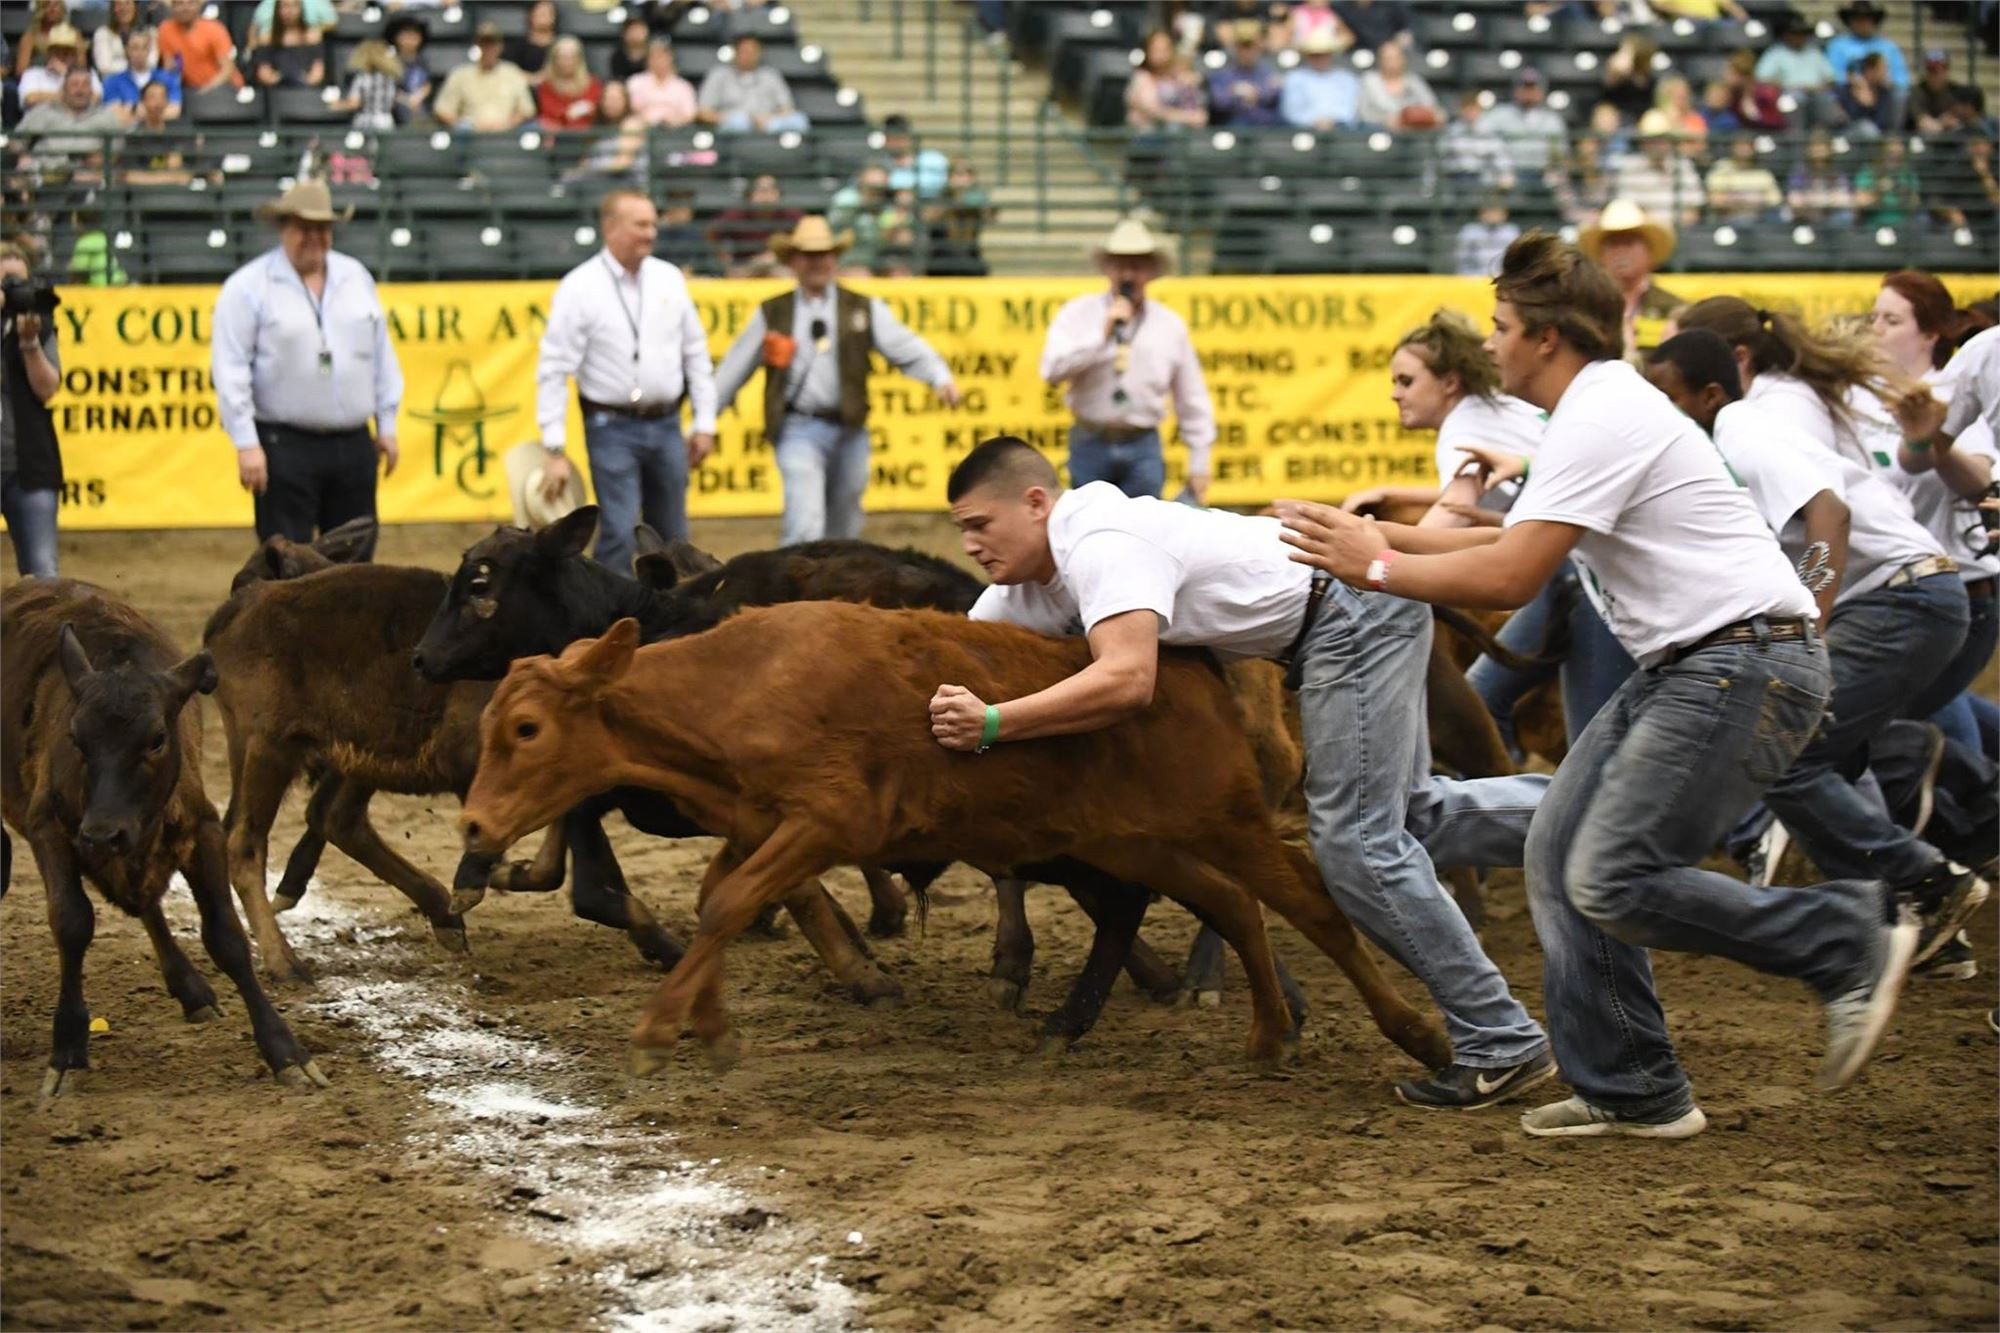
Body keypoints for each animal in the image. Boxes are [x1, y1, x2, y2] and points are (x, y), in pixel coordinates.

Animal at [2, 580, 324, 1088]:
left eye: (156, 739)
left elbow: (226, 936)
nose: (102, 834)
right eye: (76, 739)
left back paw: (190, 989)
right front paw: (68, 1047)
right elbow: (72, 922)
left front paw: (284, 1050)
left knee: (150, 904)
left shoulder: (202, 831)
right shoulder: (48, 828)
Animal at [464, 608, 1456, 1072]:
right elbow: (720, 902)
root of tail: (1192, 667)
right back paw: (1267, 1034)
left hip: (1228, 817)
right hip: (1138, 843)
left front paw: (663, 1027)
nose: (473, 826)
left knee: (1312, 905)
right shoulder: (758, 824)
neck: (738, 685)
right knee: (1237, 906)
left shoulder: (829, 819)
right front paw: (710, 1025)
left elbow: (732, 903)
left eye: (524, 730)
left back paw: (1420, 1035)